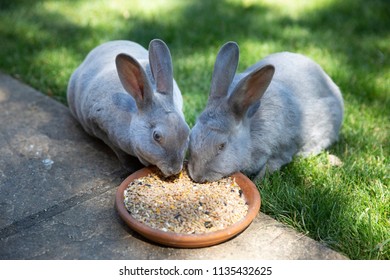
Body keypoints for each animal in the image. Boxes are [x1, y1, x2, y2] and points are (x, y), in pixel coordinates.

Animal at [68, 39, 190, 175]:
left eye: (187, 131)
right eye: (156, 136)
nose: (175, 170)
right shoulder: (100, 128)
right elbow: (122, 155)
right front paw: (131, 169)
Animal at [189, 41, 344, 182]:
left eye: (222, 146)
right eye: (191, 136)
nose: (197, 176)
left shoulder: (282, 150)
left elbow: (269, 167)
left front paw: (257, 182)